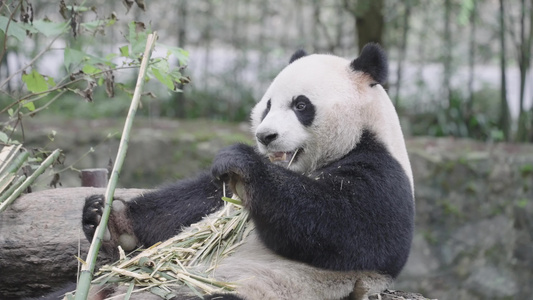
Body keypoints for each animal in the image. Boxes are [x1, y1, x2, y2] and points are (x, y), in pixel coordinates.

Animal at [82, 42, 416, 300]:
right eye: (268, 105)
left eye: (301, 105)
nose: (265, 136)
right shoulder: (216, 192)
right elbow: (190, 204)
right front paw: (111, 218)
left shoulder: (383, 172)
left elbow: (342, 225)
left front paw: (242, 162)